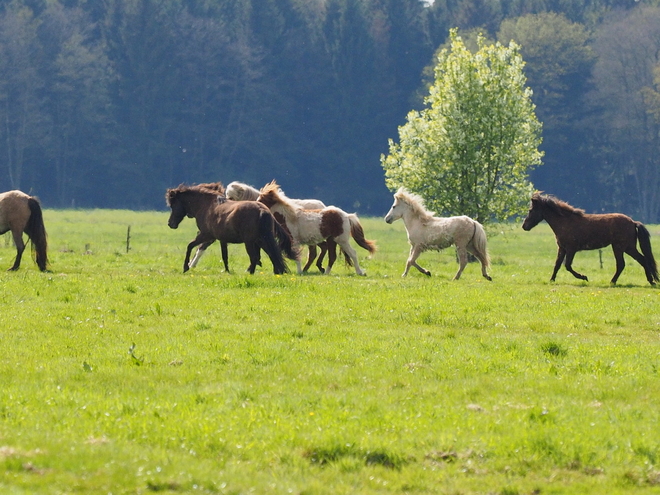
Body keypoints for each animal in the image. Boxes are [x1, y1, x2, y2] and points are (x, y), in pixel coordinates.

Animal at [166, 184, 298, 276]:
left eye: (173, 205)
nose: (170, 224)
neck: (207, 206)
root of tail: (263, 211)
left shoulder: (206, 235)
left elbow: (190, 245)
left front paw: (186, 267)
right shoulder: (221, 239)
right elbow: (225, 256)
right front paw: (227, 271)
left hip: (251, 241)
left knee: (255, 257)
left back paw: (251, 273)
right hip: (262, 240)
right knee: (273, 254)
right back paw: (277, 271)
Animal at [524, 194, 656, 286]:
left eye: (531, 210)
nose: (524, 226)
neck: (565, 222)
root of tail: (633, 222)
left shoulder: (571, 249)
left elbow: (567, 266)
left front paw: (584, 277)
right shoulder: (562, 248)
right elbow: (557, 265)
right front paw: (551, 280)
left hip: (619, 247)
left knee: (622, 264)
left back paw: (613, 282)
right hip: (628, 248)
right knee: (642, 260)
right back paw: (651, 281)